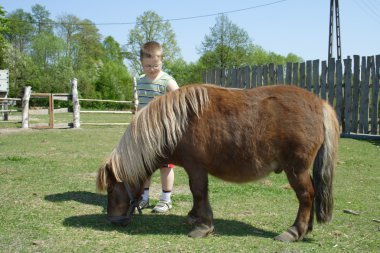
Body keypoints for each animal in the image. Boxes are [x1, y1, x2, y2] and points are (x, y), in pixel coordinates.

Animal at [96, 84, 340, 242]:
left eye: (111, 189)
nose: (113, 220)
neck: (177, 124)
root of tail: (319, 103)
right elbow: (198, 195)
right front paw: (194, 217)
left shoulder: (195, 167)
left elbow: (198, 192)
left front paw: (203, 226)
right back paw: (306, 229)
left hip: (295, 169)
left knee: (306, 196)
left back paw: (294, 231)